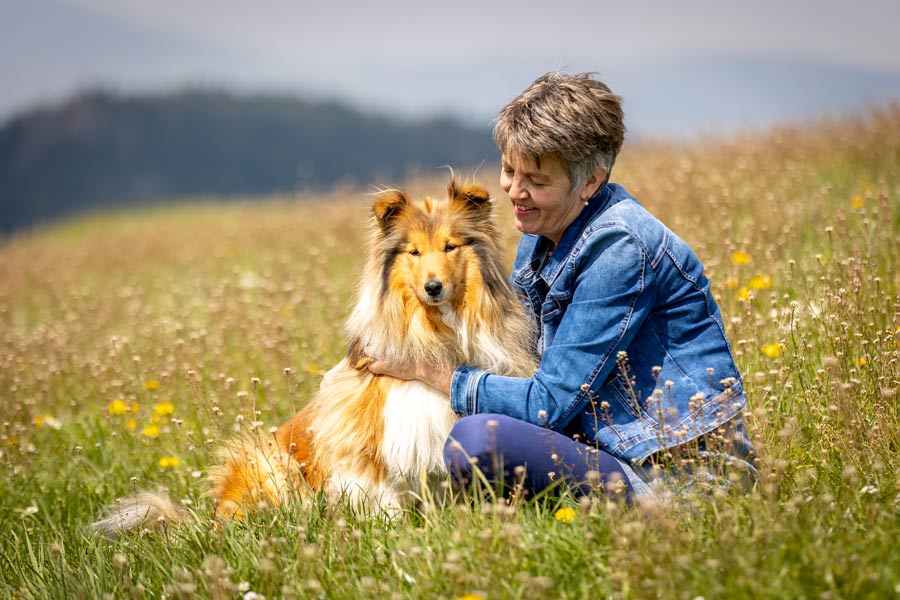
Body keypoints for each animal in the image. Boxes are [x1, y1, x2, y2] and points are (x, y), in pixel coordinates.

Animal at [93, 178, 536, 536]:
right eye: (413, 252)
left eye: (450, 246)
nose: (433, 287)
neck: (435, 329)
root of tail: (209, 519)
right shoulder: (366, 440)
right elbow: (383, 494)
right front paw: (391, 532)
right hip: (269, 463)